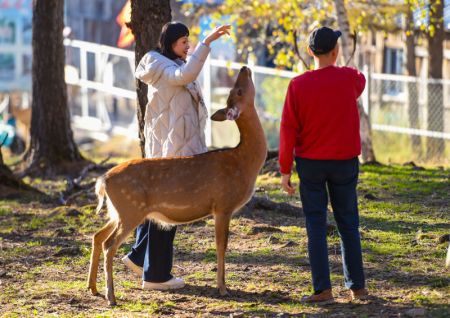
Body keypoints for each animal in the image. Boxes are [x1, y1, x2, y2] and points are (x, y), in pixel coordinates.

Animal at [89, 66, 268, 306]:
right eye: (237, 91)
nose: (244, 68)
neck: (244, 161)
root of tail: (103, 180)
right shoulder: (223, 204)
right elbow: (221, 246)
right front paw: (223, 288)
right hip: (130, 209)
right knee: (109, 244)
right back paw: (111, 296)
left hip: (118, 211)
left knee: (97, 236)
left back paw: (92, 288)